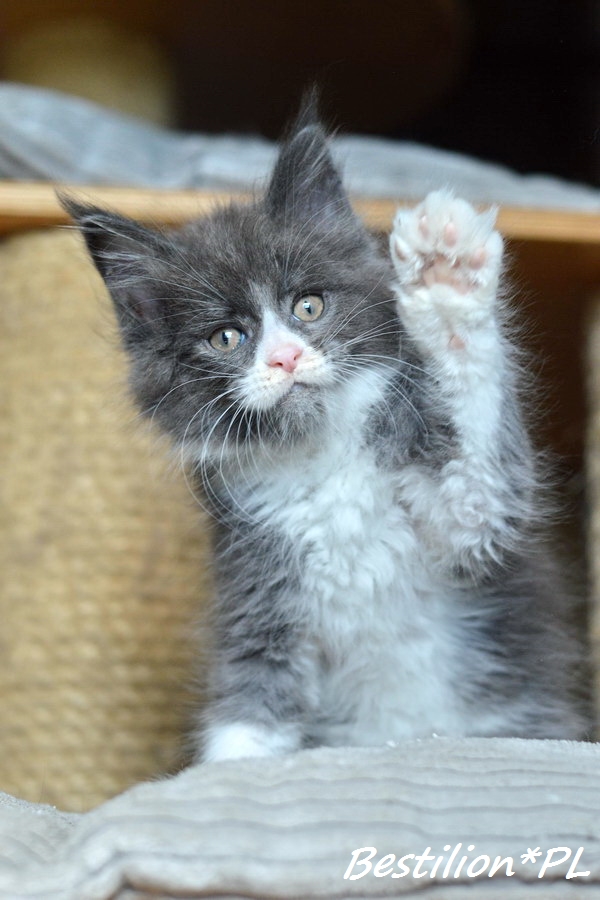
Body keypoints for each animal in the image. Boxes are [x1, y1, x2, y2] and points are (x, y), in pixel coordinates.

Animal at [62, 101, 590, 762]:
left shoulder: (474, 522)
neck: (322, 465)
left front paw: (444, 279)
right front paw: (224, 774)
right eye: (226, 338)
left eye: (308, 307)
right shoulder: (258, 587)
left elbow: (472, 434)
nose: (285, 358)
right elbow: (251, 698)